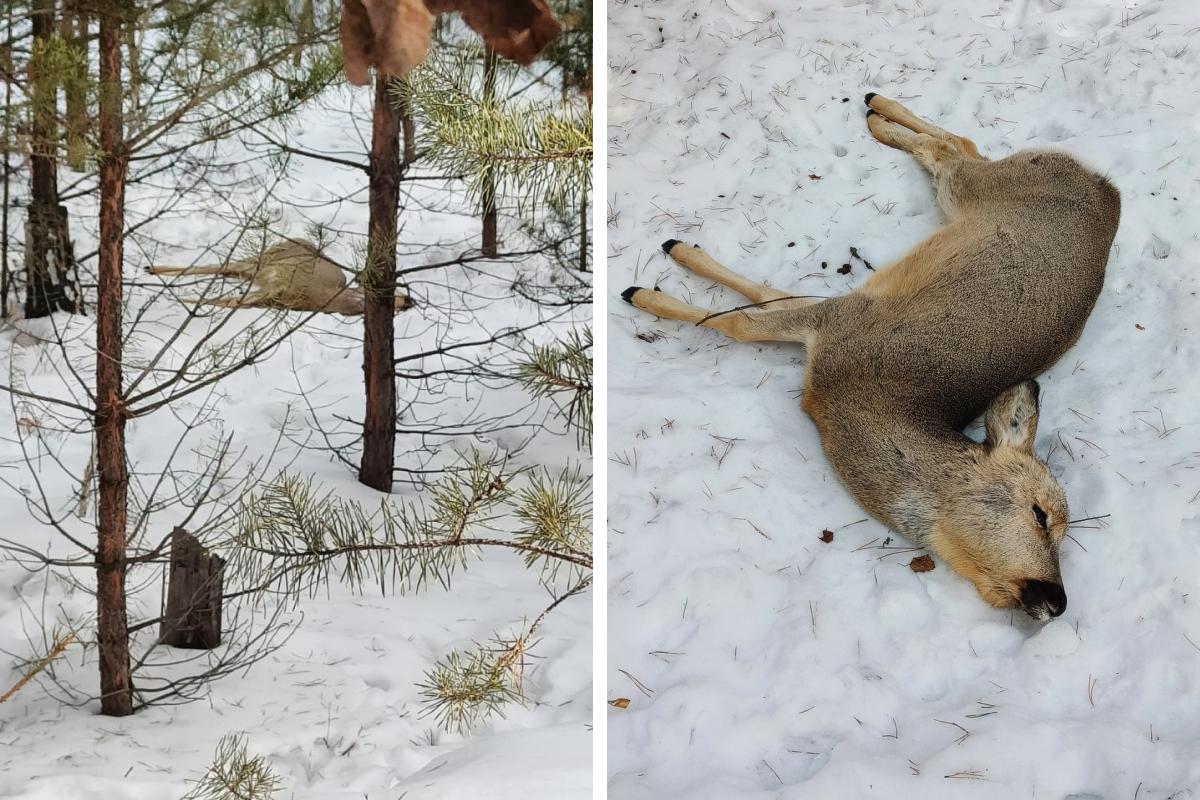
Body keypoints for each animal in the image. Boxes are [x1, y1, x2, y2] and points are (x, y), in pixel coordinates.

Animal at [148, 237, 412, 316]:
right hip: (261, 260)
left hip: (253, 272)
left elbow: (231, 301)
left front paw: (186, 302)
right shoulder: (279, 284)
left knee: (223, 272)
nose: (410, 300)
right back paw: (151, 269)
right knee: (216, 265)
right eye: (396, 290)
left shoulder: (272, 296)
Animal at [624, 94, 1118, 618]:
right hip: (975, 188)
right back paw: (876, 112)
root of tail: (1107, 191)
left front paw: (667, 272)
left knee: (958, 147)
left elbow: (758, 301)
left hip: (967, 195)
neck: (854, 400)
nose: (1058, 600)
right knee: (953, 149)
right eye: (1040, 514)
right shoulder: (840, 321)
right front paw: (651, 285)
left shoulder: (836, 320)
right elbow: (741, 319)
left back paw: (877, 112)